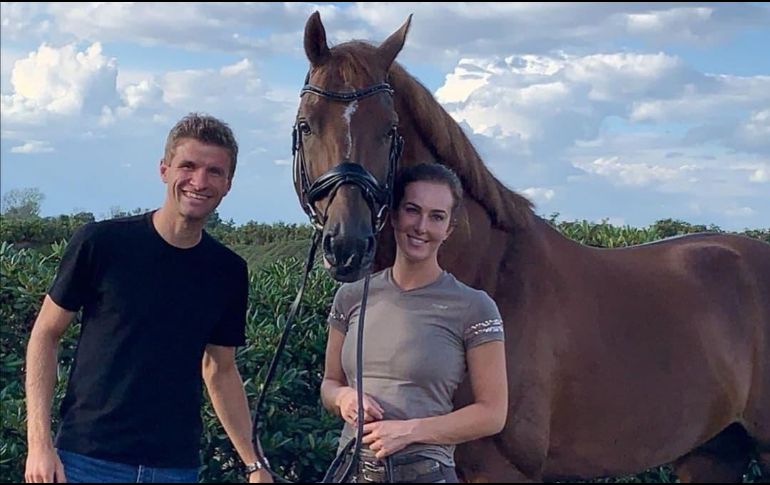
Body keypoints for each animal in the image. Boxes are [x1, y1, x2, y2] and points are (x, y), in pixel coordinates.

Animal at [292, 12, 770, 482]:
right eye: (306, 124)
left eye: (390, 130)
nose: (348, 244)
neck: (489, 272)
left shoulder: (503, 469)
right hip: (712, 451)